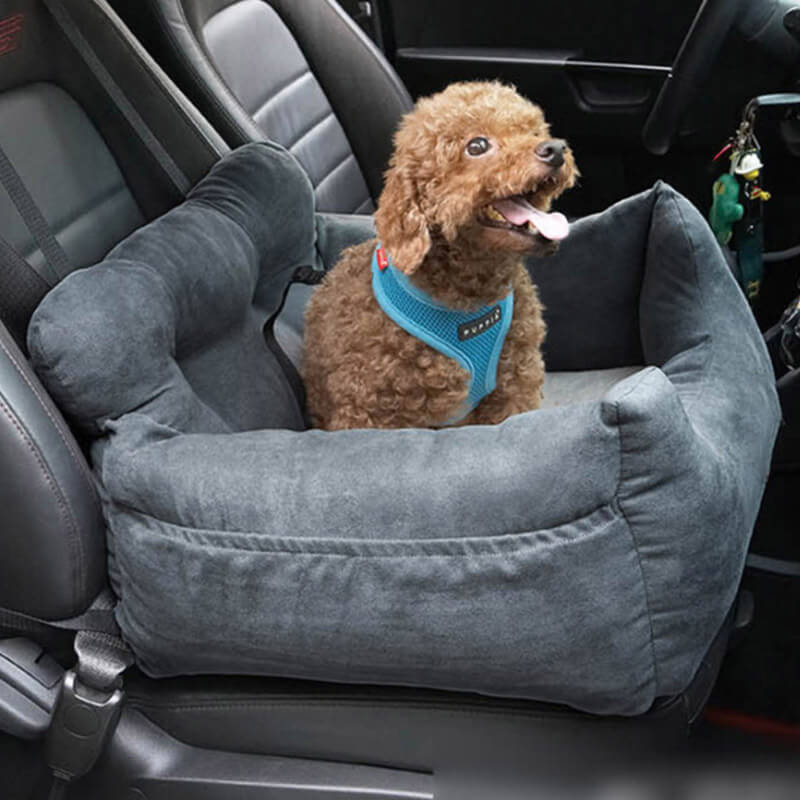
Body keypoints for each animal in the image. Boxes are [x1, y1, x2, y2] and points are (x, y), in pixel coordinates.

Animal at [304, 81, 576, 432]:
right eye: (477, 145)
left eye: (533, 131)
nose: (555, 149)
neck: (468, 298)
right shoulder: (367, 408)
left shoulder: (514, 383)